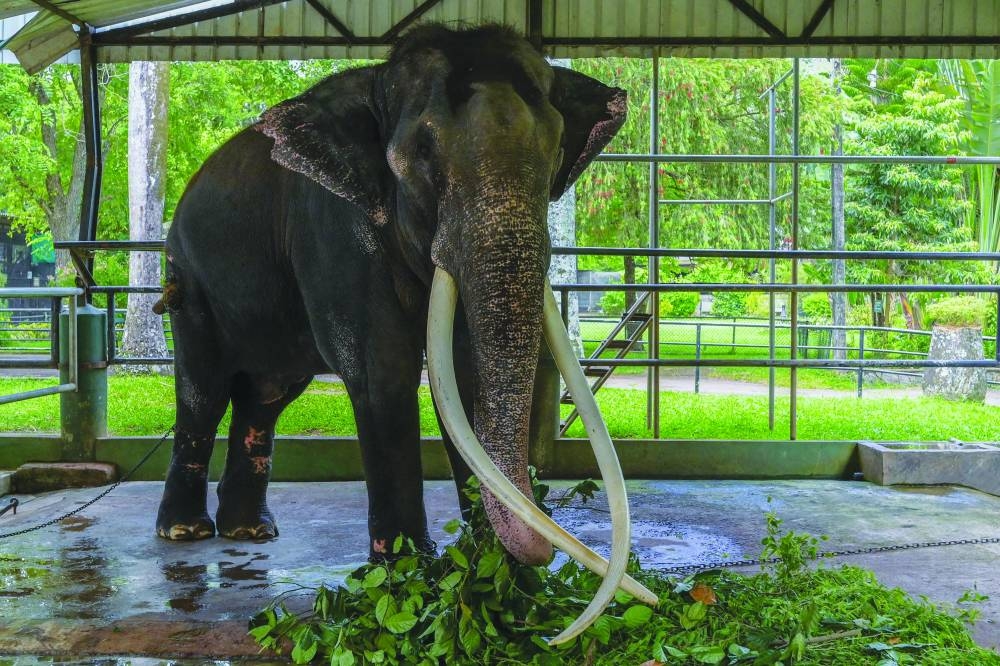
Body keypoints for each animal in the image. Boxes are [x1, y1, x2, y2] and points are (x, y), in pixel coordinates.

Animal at [155, 23, 656, 641]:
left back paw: (250, 533)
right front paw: (406, 576)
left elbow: (465, 382)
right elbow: (382, 371)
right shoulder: (335, 228)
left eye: (558, 148)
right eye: (422, 151)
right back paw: (187, 533)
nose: (542, 556)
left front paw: (490, 578)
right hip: (188, 280)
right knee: (203, 391)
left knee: (264, 399)